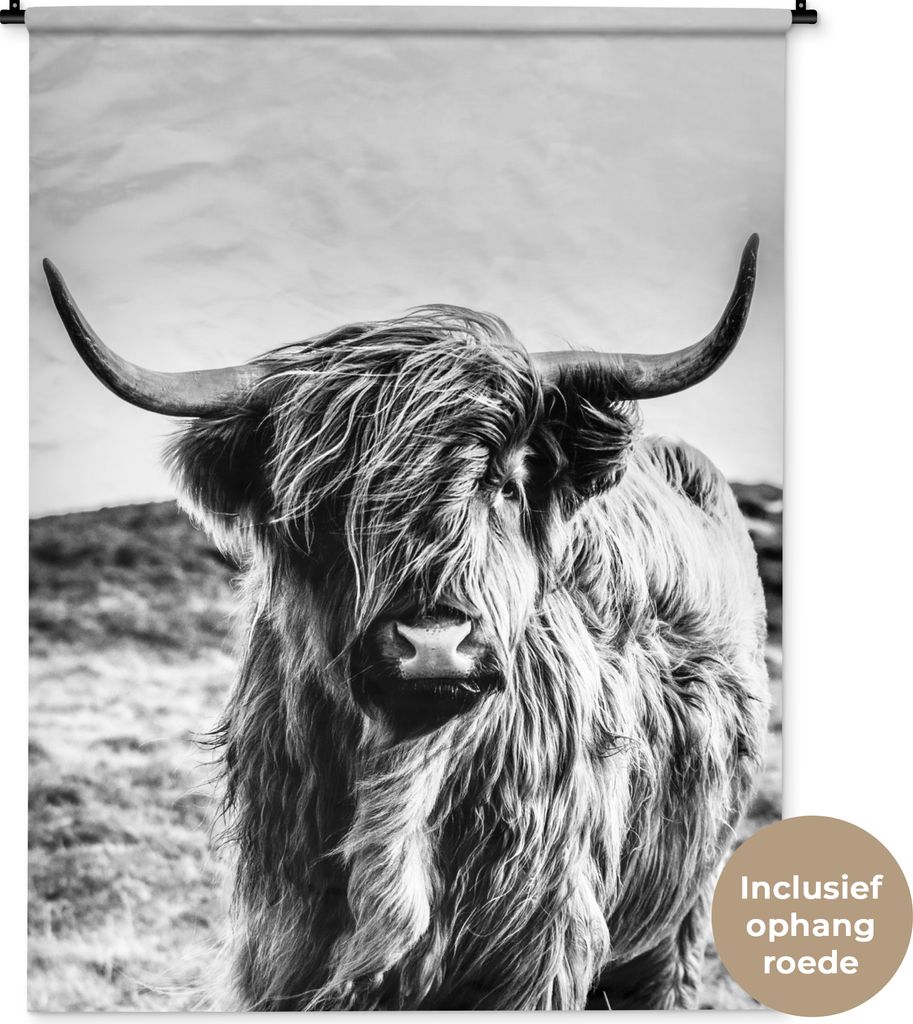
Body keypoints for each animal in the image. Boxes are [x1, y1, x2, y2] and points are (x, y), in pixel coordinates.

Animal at [42, 235, 768, 1011]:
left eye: (504, 483)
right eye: (326, 501)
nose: (434, 644)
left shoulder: (538, 949)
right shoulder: (281, 945)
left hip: (679, 916)